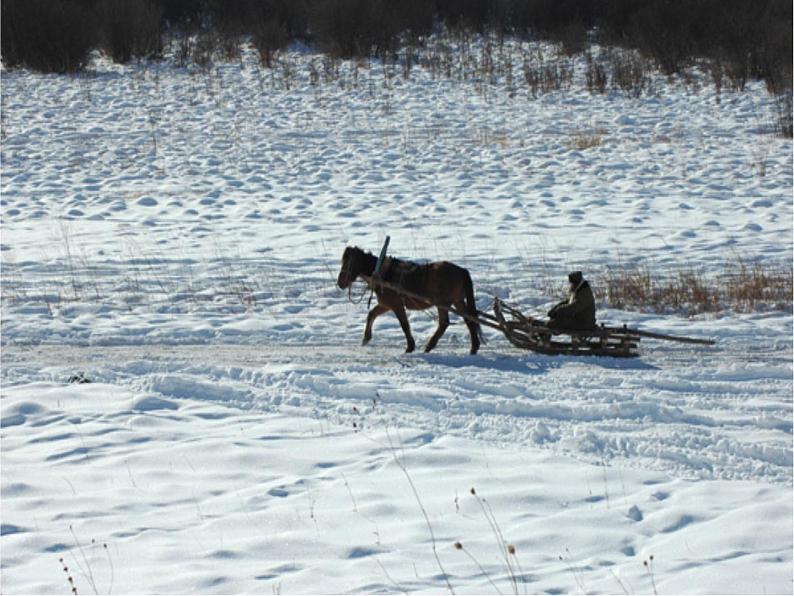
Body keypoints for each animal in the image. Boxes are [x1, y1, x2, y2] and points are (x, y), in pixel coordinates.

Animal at [336, 246, 480, 354]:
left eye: (348, 263)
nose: (340, 283)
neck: (382, 273)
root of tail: (461, 270)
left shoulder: (396, 305)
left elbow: (404, 324)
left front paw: (410, 347)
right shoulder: (386, 304)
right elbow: (371, 314)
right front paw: (366, 338)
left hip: (443, 303)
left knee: (444, 323)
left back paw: (429, 346)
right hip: (457, 301)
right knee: (469, 320)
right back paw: (473, 348)